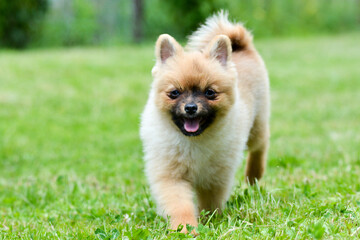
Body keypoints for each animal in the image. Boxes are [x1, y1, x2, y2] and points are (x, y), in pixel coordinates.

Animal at [139, 11, 268, 232]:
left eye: (210, 93)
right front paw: (184, 227)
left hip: (257, 124)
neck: (193, 141)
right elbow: (179, 204)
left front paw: (210, 220)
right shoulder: (171, 175)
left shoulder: (215, 176)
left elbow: (211, 201)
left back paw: (253, 175)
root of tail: (241, 44)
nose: (191, 107)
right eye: (174, 93)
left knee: (260, 145)